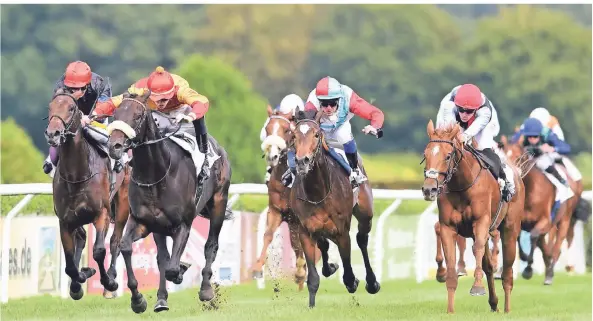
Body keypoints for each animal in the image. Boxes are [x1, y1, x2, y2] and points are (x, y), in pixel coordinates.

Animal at [43, 89, 131, 298]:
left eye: (71, 108)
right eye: (50, 107)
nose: (53, 133)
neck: (76, 174)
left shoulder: (101, 214)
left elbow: (99, 250)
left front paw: (108, 283)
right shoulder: (65, 220)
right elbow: (69, 263)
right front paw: (79, 280)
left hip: (122, 204)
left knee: (115, 241)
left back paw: (111, 279)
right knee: (82, 237)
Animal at [107, 90, 232, 312]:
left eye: (137, 116)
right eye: (115, 115)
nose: (115, 146)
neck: (156, 173)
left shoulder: (183, 224)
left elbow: (173, 268)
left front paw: (182, 271)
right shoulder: (142, 221)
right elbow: (127, 247)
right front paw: (138, 300)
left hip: (219, 202)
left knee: (210, 246)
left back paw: (206, 289)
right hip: (159, 227)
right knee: (163, 258)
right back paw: (161, 299)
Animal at [290, 109, 382, 308]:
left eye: (316, 134)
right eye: (294, 136)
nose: (302, 161)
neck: (317, 192)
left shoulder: (342, 231)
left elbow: (348, 274)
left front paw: (354, 281)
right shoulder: (306, 231)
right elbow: (313, 278)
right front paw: (311, 306)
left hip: (365, 214)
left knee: (362, 239)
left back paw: (372, 282)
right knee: (324, 245)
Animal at [420, 120, 524, 312]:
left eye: (447, 156)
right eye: (426, 154)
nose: (429, 189)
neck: (462, 185)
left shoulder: (481, 222)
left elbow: (477, 249)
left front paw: (477, 287)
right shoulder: (448, 227)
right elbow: (452, 263)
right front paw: (450, 310)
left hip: (510, 229)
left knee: (507, 272)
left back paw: (507, 308)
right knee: (489, 266)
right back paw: (494, 303)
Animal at [500, 134, 584, 284]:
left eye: (517, 156)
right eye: (504, 156)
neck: (531, 191)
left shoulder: (544, 220)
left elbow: (533, 237)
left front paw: (528, 269)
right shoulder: (519, 221)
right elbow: (520, 237)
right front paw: (524, 259)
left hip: (564, 220)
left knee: (557, 246)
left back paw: (550, 273)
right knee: (545, 246)